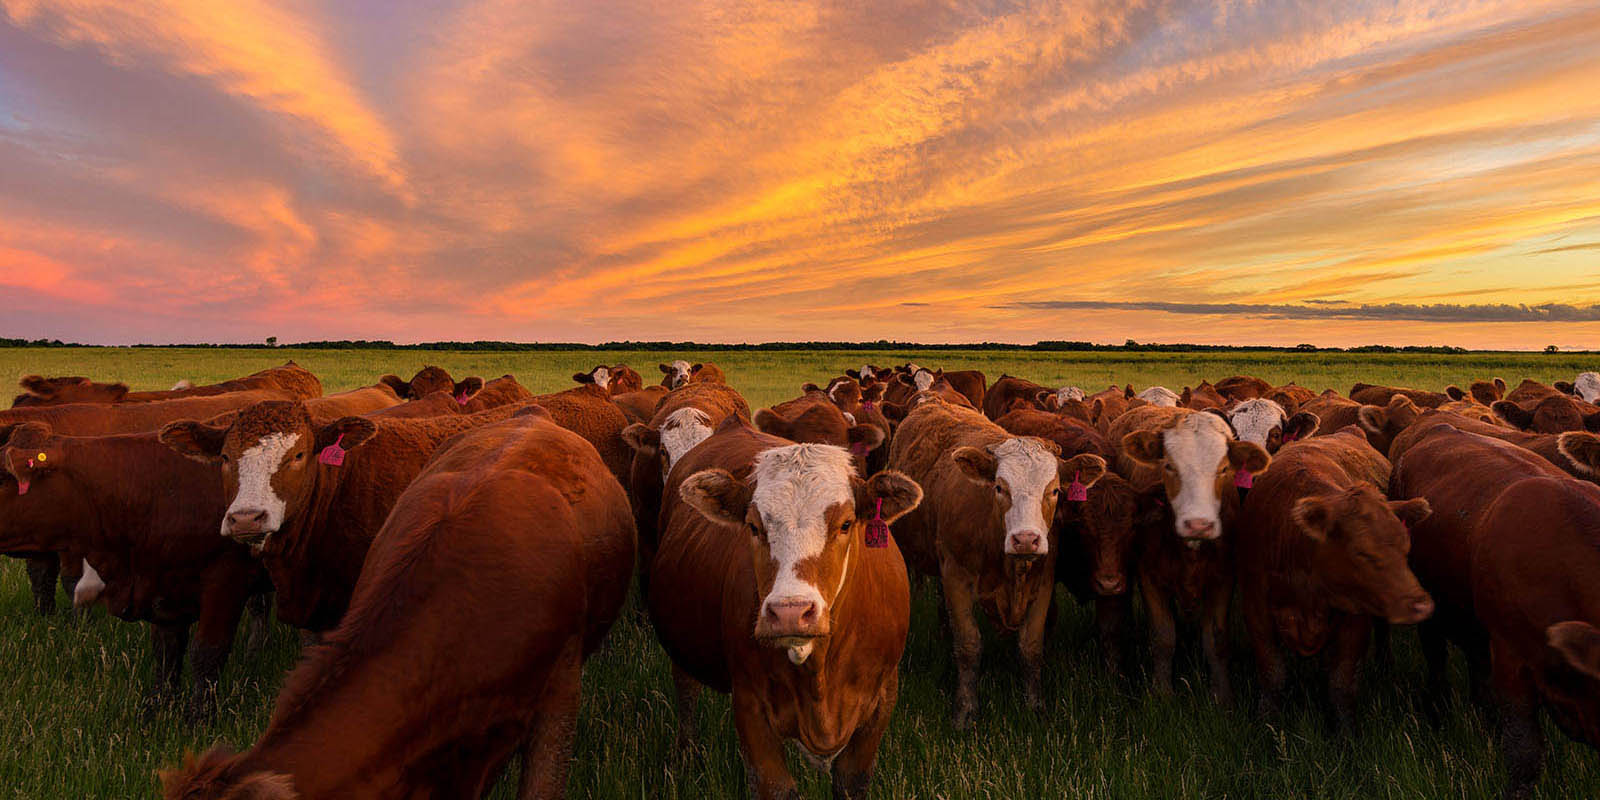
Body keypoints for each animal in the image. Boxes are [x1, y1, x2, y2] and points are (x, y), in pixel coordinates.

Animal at [1, 422, 262, 717]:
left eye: (2, 476)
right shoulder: (163, 589)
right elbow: (166, 653)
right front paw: (158, 707)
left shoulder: (226, 580)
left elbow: (207, 653)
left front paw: (199, 716)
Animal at [650, 415, 922, 799]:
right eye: (753, 526)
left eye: (846, 524)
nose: (791, 612)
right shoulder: (750, 705)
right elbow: (774, 786)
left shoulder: (881, 701)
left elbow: (852, 781)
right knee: (686, 689)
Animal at [888, 399, 1106, 726]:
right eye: (1000, 488)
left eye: (1055, 490)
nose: (1026, 539)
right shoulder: (956, 577)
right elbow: (968, 646)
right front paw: (965, 710)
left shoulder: (1043, 582)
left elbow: (1031, 648)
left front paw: (1035, 706)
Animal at [1110, 405, 1270, 703]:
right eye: (1169, 466)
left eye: (1224, 469)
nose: (1198, 524)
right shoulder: (1149, 577)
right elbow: (1163, 636)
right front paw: (1162, 692)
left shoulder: (1223, 579)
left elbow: (1216, 639)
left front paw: (1222, 695)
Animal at [1235, 427, 1433, 729]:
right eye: (1360, 552)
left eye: (1405, 546)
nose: (1420, 604)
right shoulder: (1256, 609)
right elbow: (1272, 674)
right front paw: (1267, 722)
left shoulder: (1355, 616)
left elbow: (1342, 683)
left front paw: (1346, 732)